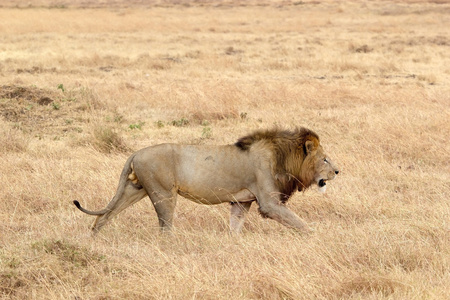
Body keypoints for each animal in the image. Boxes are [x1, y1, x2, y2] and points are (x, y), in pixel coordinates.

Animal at [74, 127, 340, 234]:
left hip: (134, 189)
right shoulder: (270, 203)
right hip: (163, 194)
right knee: (165, 227)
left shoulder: (241, 202)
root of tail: (136, 153)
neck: (282, 158)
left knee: (103, 217)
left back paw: (94, 240)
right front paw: (317, 236)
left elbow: (235, 228)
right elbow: (300, 223)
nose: (338, 171)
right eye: (325, 159)